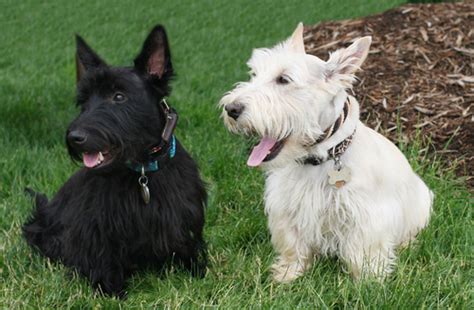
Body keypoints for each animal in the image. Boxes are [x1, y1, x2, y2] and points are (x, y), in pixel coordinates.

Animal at [22, 25, 207, 296]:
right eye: (84, 101)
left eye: (119, 97)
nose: (75, 137)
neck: (142, 172)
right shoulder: (97, 231)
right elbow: (102, 259)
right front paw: (110, 291)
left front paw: (198, 272)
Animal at [219, 23, 434, 282]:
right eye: (254, 74)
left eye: (283, 79)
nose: (231, 109)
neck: (318, 158)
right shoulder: (288, 209)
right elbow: (293, 245)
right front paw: (288, 275)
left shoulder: (366, 216)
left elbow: (363, 251)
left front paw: (368, 281)